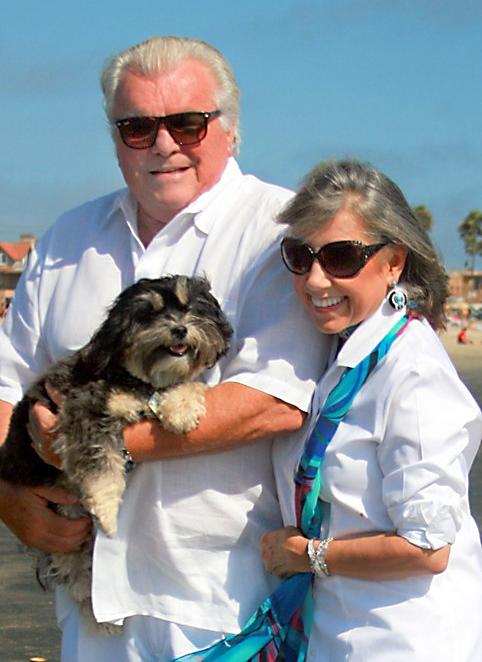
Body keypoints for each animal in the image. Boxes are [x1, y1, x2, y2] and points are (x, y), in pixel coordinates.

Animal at [0, 274, 232, 632]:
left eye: (190, 308)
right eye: (148, 315)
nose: (179, 329)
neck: (131, 377)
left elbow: (187, 385)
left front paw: (181, 408)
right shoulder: (84, 412)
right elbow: (100, 468)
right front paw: (108, 512)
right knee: (72, 568)